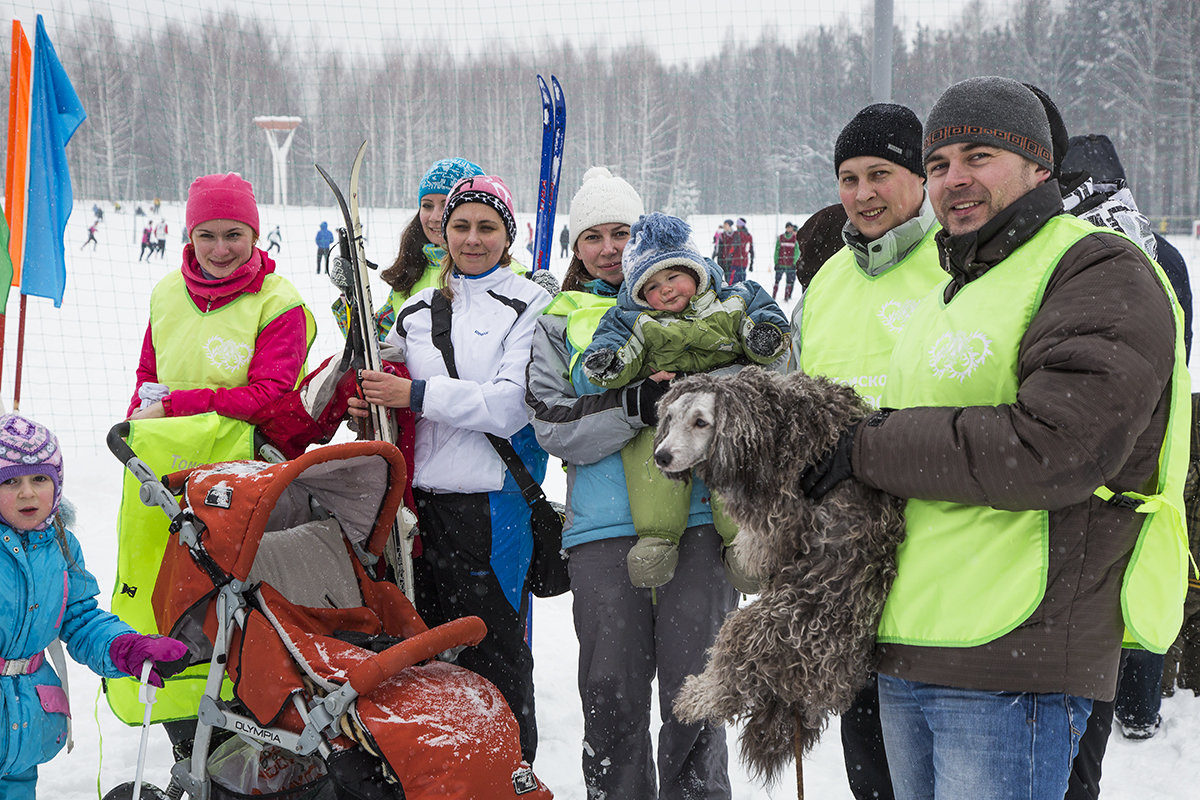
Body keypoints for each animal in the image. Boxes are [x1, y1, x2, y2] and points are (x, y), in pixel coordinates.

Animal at [657, 367, 902, 782]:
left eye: (701, 422)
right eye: (670, 418)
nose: (661, 455)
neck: (774, 424)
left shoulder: (784, 511)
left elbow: (764, 539)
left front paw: (747, 554)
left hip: (755, 629)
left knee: (728, 687)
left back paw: (695, 697)